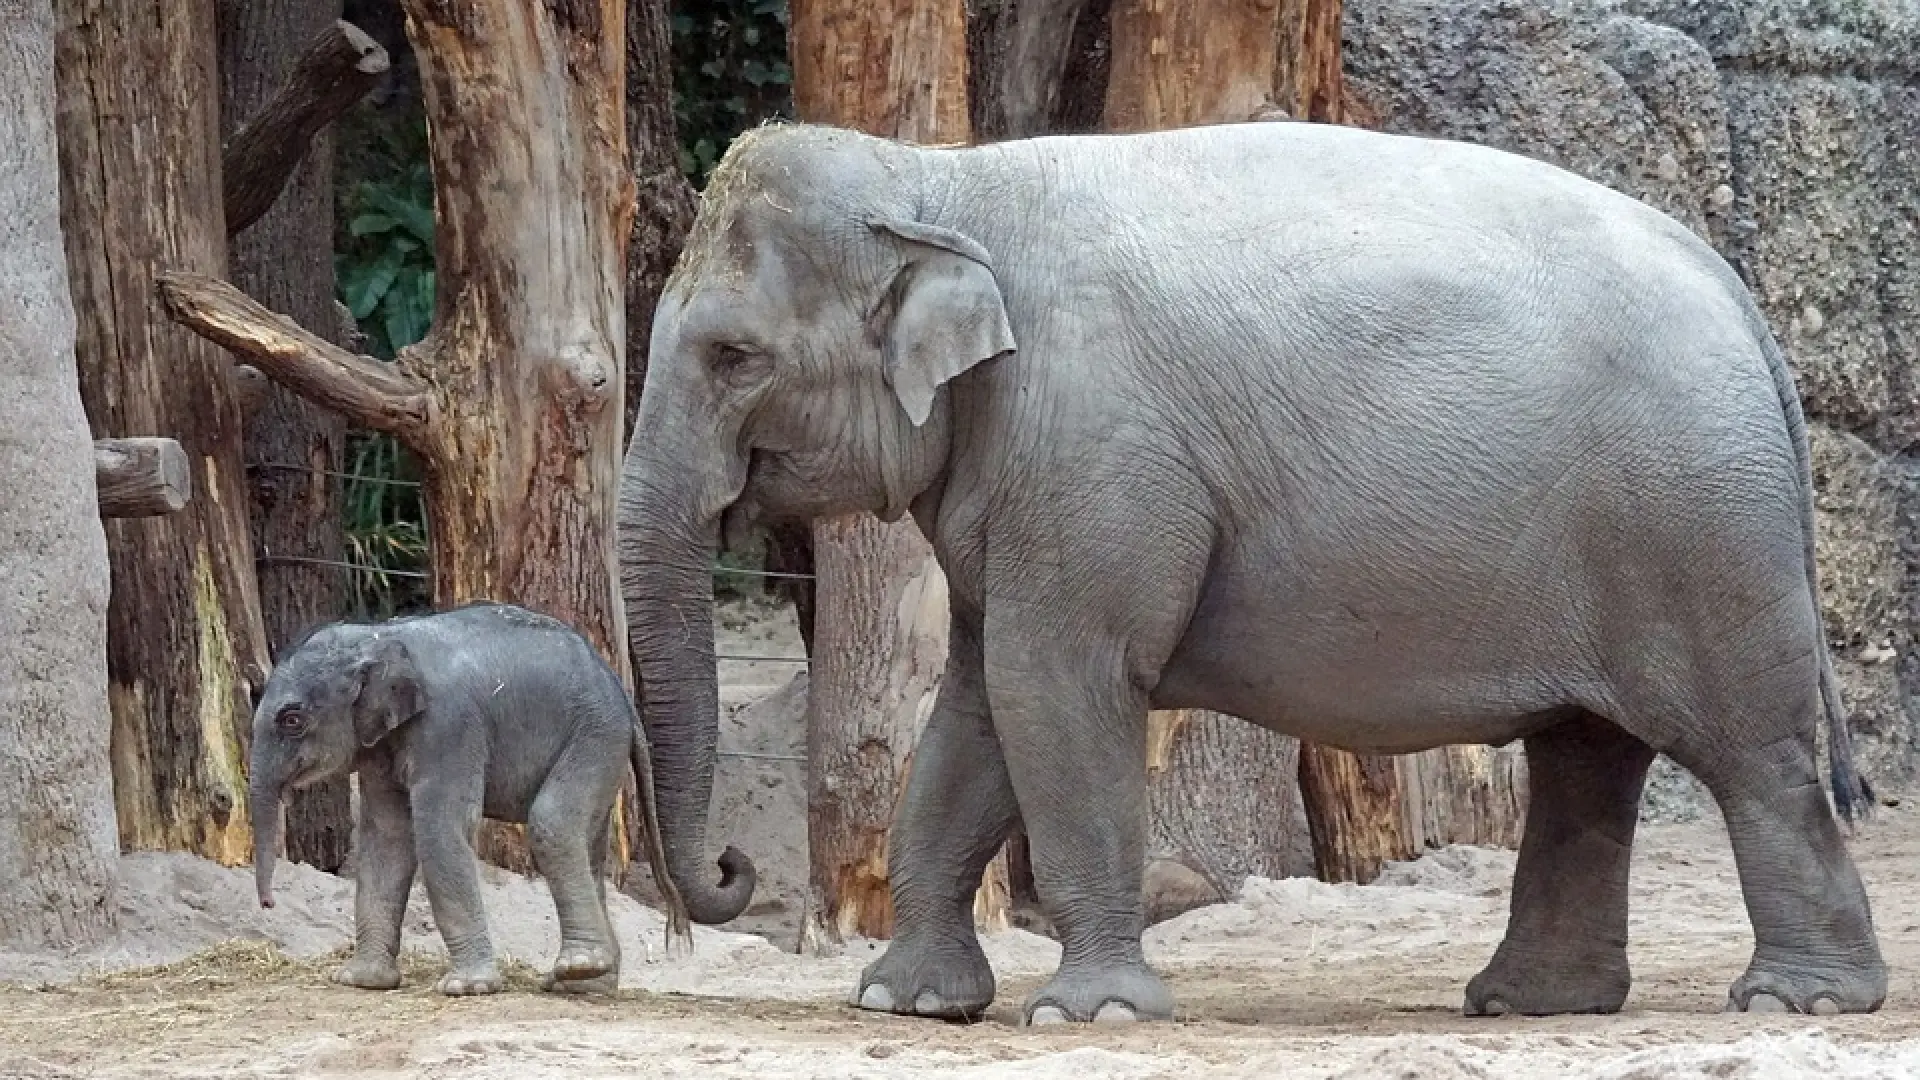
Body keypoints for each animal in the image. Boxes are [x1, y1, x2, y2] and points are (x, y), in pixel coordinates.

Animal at [243, 595, 687, 991]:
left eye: (292, 720)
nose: (267, 904)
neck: (379, 635)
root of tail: (622, 694)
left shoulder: (450, 726)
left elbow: (438, 830)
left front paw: (465, 987)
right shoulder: (381, 746)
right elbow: (387, 838)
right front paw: (360, 981)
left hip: (595, 734)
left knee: (552, 823)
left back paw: (579, 968)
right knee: (586, 848)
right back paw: (583, 983)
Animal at [618, 122, 1889, 1022]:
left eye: (732, 357)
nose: (727, 865)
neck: (939, 179)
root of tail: (1733, 287)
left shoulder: (1092, 449)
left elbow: (1058, 688)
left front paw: (1089, 1017)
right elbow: (980, 705)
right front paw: (908, 1002)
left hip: (1696, 527)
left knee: (1749, 754)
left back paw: (1798, 1002)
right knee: (1585, 759)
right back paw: (1534, 1004)